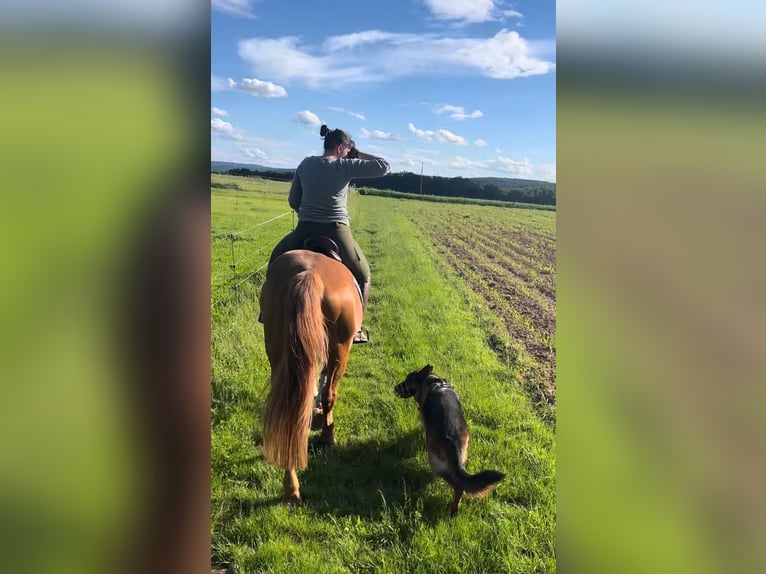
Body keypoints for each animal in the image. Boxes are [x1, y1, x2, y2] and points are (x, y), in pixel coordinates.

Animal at [260, 249, 364, 504]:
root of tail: (308, 274)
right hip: (340, 348)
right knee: (329, 395)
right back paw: (328, 436)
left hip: (278, 349)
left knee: (290, 407)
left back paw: (291, 488)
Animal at [396, 366, 504, 520]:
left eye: (407, 380)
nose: (395, 388)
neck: (435, 382)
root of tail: (452, 440)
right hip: (461, 457)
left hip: (436, 464)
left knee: (458, 486)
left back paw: (453, 509)